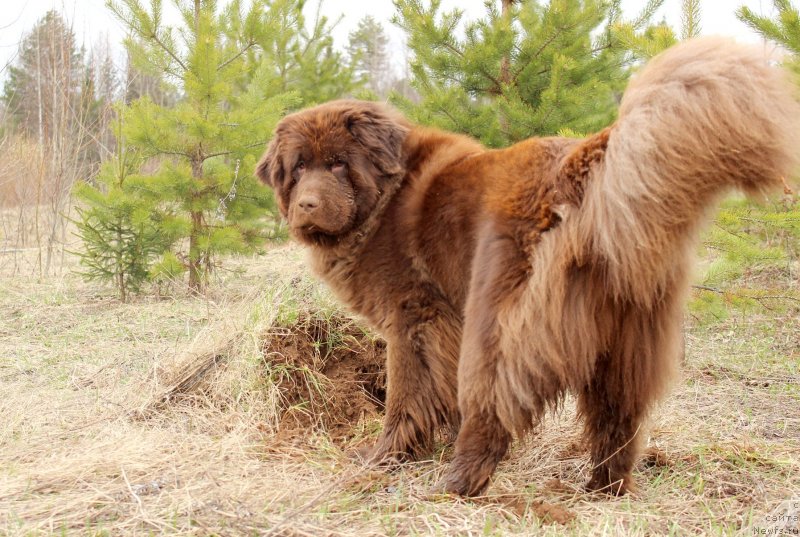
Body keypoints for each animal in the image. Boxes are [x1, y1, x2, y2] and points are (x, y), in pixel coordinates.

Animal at [256, 37, 800, 496]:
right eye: (298, 167)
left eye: (339, 163)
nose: (306, 205)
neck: (384, 199)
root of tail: (578, 164)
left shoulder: (416, 317)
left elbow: (407, 395)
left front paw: (385, 457)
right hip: (626, 337)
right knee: (619, 417)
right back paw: (602, 488)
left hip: (498, 321)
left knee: (494, 402)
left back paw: (459, 482)